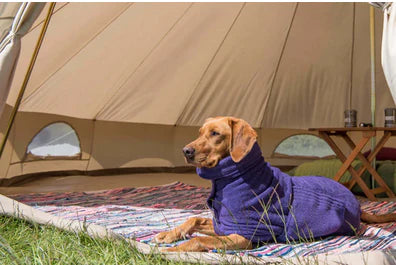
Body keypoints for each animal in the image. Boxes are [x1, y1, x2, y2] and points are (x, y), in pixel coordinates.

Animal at [154, 116, 396, 251]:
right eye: (200, 132)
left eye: (215, 133)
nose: (185, 151)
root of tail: (357, 204)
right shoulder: (223, 225)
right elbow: (193, 218)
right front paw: (169, 235)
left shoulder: (243, 236)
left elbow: (198, 241)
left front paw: (169, 251)